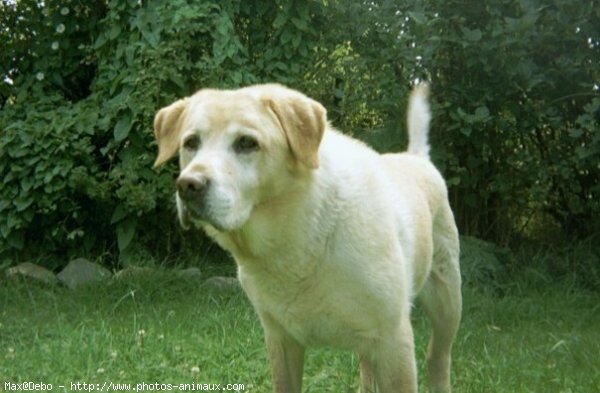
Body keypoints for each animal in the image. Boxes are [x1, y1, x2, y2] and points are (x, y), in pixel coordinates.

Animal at [152, 83, 462, 392]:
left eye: (247, 143)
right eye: (191, 143)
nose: (188, 185)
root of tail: (416, 157)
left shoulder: (393, 340)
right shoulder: (281, 340)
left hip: (446, 300)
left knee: (438, 356)